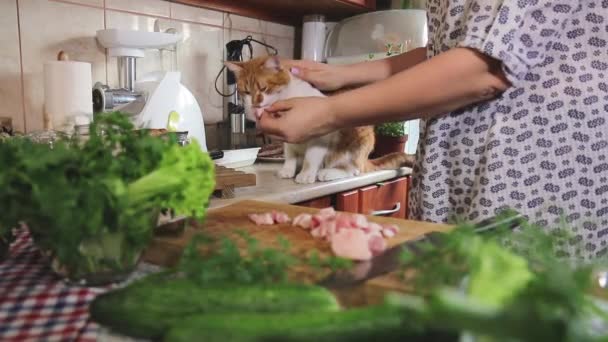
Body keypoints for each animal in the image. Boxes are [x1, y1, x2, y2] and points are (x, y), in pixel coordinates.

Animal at [223, 56, 414, 184]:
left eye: (263, 88)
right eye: (246, 92)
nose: (255, 104)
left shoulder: (320, 135)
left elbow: (311, 157)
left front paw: (306, 174)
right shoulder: (288, 141)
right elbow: (290, 155)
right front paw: (287, 170)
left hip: (357, 140)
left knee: (353, 169)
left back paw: (328, 173)